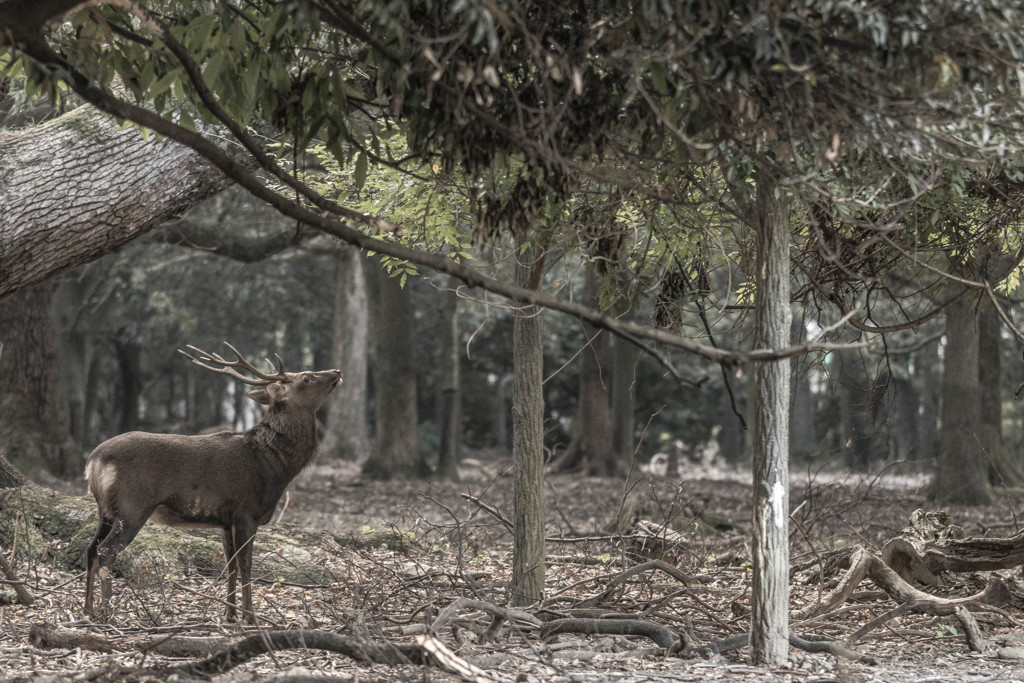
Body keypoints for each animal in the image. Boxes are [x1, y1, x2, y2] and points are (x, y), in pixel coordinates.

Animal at [83, 342, 339, 626]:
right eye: (307, 377)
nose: (336, 371)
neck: (275, 465)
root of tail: (93, 461)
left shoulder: (226, 519)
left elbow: (230, 565)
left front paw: (229, 614)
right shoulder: (246, 512)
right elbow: (246, 564)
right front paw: (251, 617)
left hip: (106, 510)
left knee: (90, 549)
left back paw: (88, 609)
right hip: (132, 506)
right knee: (106, 551)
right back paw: (107, 613)